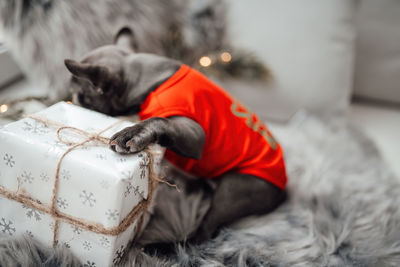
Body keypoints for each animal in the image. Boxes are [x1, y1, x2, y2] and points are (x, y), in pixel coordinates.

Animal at [64, 27, 286, 245]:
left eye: (78, 96)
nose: (67, 101)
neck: (148, 81)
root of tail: (284, 187)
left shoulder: (196, 135)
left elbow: (160, 120)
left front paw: (132, 133)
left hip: (233, 190)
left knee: (204, 232)